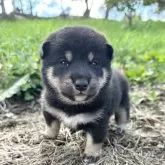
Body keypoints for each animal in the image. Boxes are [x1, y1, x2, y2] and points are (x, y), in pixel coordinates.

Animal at [39, 26, 129, 164]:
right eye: (63, 62)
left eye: (94, 63)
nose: (81, 84)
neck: (73, 105)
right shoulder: (49, 110)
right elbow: (52, 125)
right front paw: (48, 136)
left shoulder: (99, 121)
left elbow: (94, 141)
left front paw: (91, 155)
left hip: (124, 102)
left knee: (123, 116)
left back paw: (121, 128)